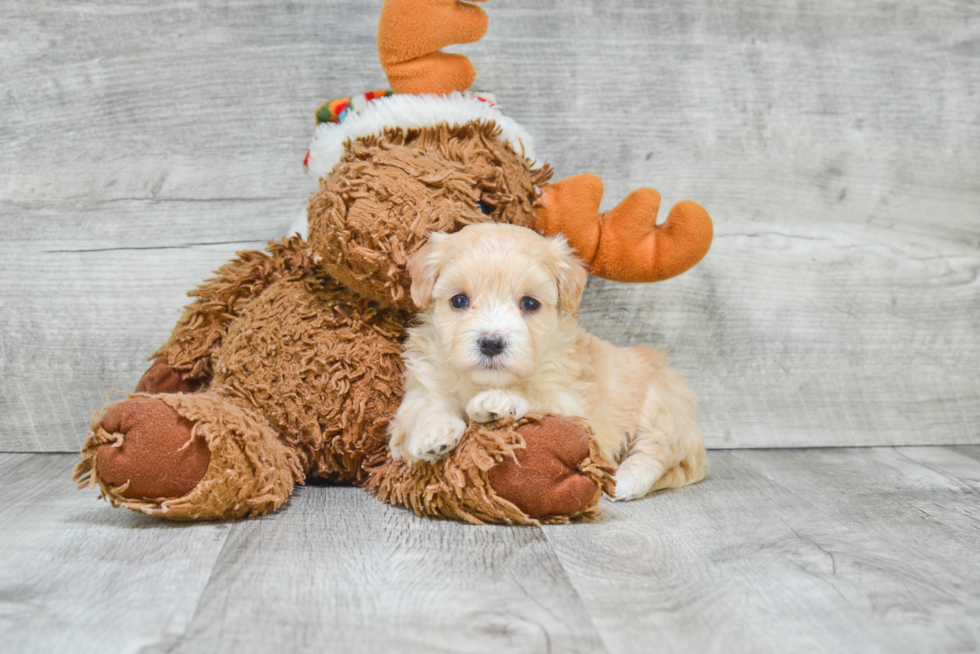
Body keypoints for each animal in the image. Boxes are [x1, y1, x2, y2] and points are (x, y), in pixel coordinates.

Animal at [386, 223, 708, 500]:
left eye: (530, 303)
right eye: (459, 301)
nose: (491, 343)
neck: (484, 381)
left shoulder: (572, 402)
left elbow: (537, 395)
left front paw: (499, 401)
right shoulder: (424, 385)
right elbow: (420, 409)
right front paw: (433, 433)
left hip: (661, 406)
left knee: (658, 450)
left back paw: (625, 480)